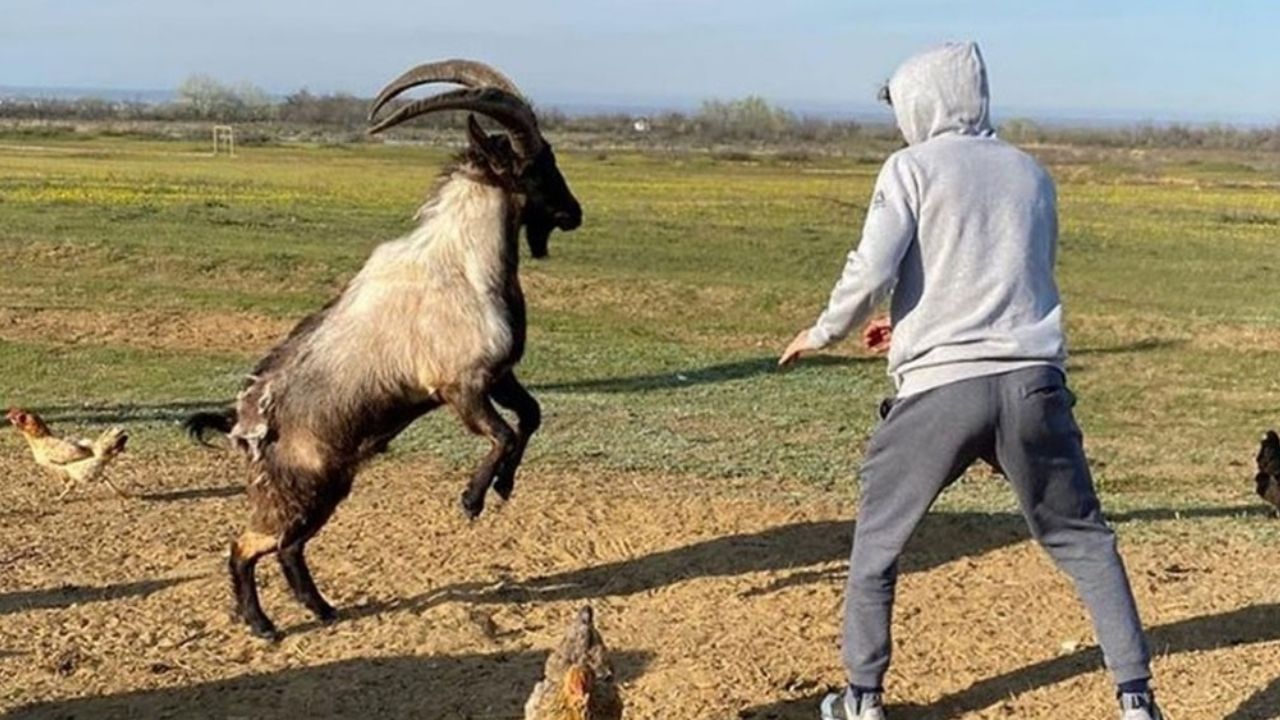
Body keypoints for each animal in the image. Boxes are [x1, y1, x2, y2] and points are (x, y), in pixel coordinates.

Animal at [184, 59, 582, 640]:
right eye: (538, 163)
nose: (574, 213)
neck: (465, 265)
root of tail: (242, 425)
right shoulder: (460, 386)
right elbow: (504, 432)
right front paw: (471, 500)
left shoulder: (500, 376)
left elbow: (530, 416)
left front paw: (504, 487)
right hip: (294, 492)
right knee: (245, 546)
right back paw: (262, 625)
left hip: (329, 489)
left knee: (289, 548)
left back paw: (323, 609)